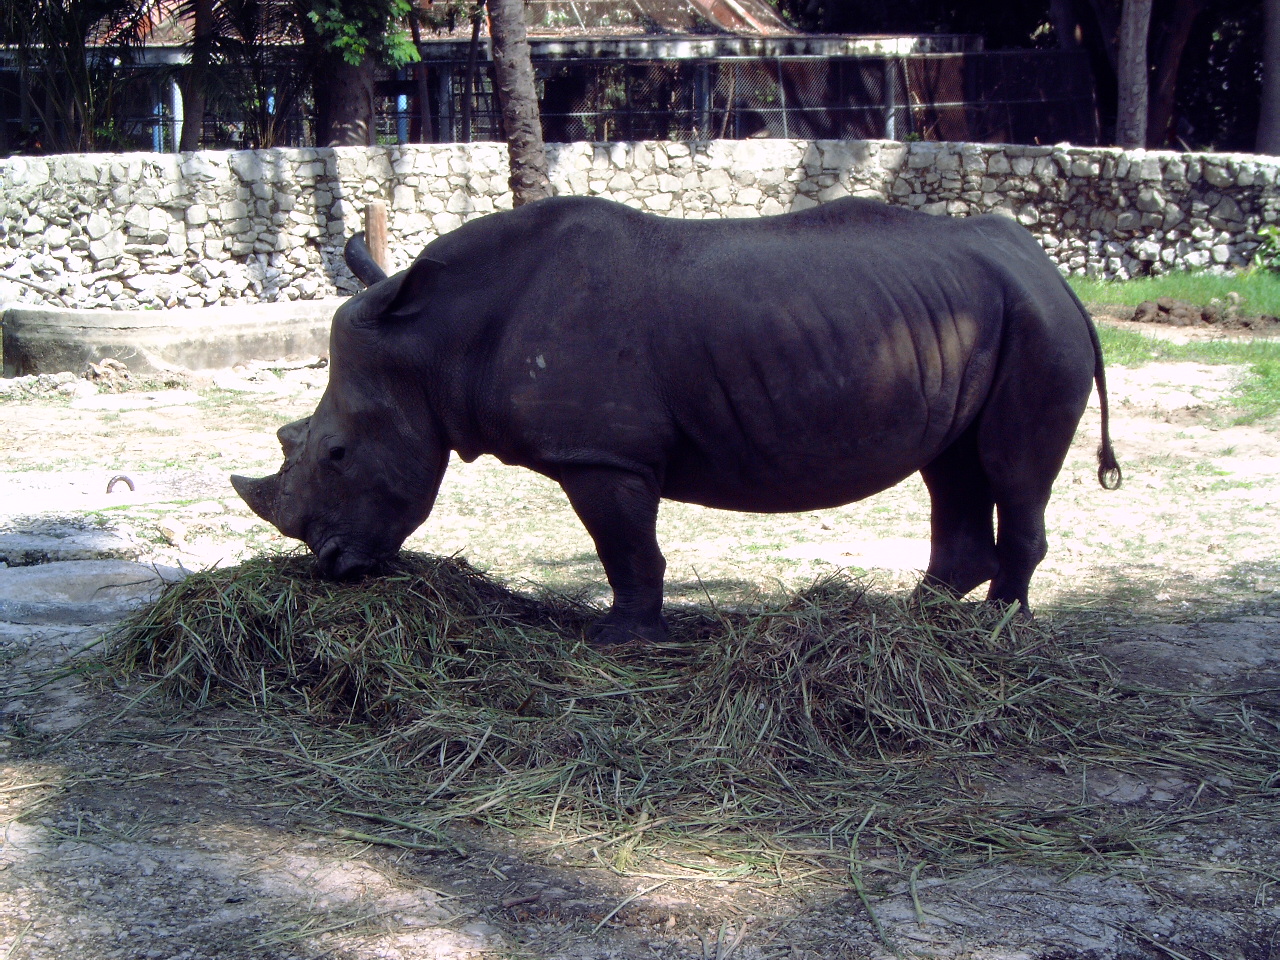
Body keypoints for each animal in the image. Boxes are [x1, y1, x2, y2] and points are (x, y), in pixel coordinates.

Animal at [232, 196, 1120, 644]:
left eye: (337, 454)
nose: (332, 567)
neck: (435, 341)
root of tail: (1050, 268)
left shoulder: (601, 453)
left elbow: (625, 547)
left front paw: (617, 639)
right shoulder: (605, 451)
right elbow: (628, 547)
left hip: (1037, 324)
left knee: (1010, 469)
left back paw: (999, 630)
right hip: (976, 316)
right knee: (954, 467)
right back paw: (919, 616)